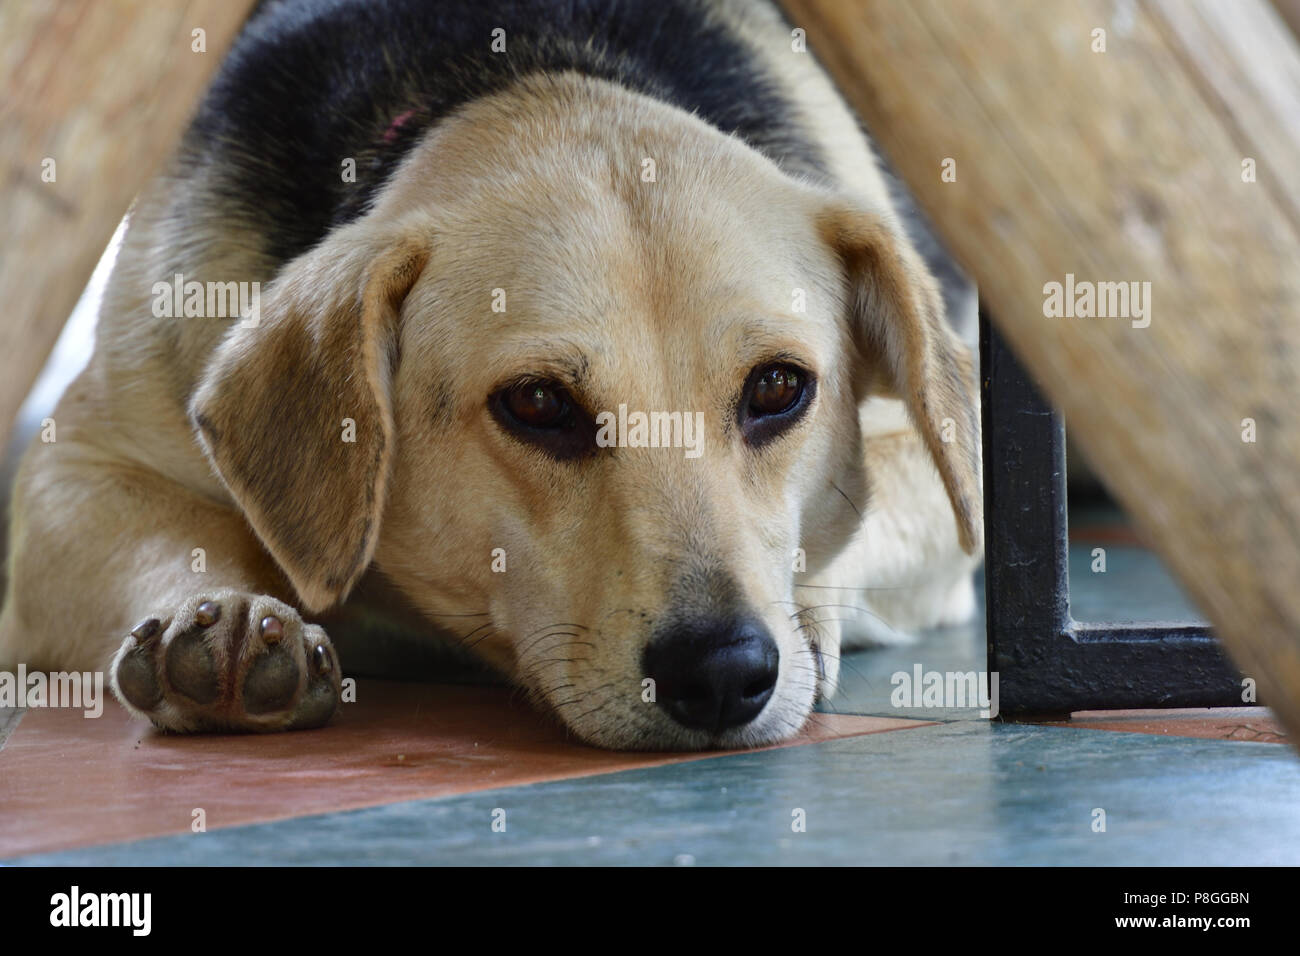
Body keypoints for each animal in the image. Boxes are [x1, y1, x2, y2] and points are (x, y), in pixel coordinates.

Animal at [0, 0, 982, 750]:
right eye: (539, 403)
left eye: (779, 389)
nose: (722, 671)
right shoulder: (73, 470)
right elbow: (179, 538)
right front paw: (220, 613)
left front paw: (809, 611)